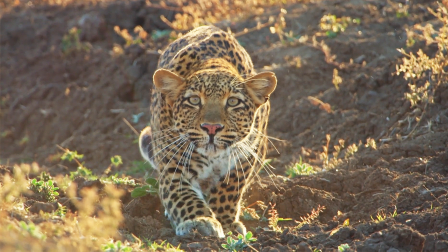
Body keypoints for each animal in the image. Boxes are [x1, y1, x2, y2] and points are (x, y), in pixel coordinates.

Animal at [138, 26, 276, 238]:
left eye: (233, 102)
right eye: (194, 100)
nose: (212, 128)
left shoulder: (247, 155)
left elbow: (229, 190)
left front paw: (226, 224)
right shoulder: (173, 166)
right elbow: (183, 196)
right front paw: (199, 220)